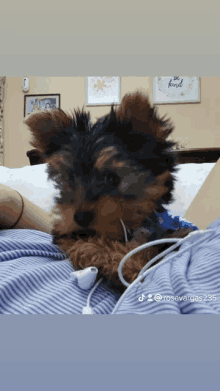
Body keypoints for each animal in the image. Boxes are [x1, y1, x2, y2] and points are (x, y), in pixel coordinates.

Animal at [24, 92, 192, 294]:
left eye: (112, 179)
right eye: (69, 179)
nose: (80, 217)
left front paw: (127, 262)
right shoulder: (66, 231)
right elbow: (81, 241)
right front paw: (118, 260)